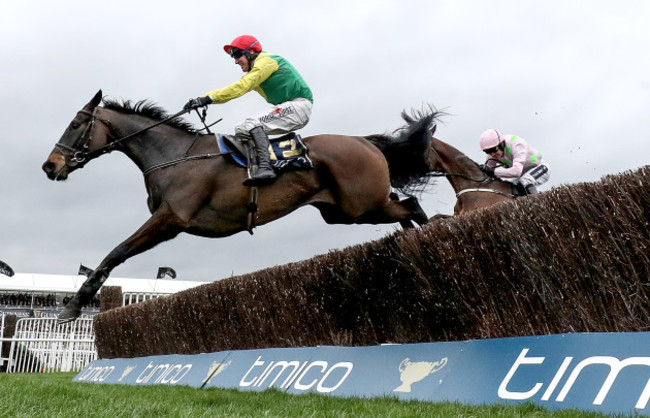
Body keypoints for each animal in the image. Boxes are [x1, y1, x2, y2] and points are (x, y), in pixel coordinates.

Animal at [41, 90, 440, 324]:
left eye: (76, 123)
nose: (50, 166)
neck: (174, 156)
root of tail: (367, 142)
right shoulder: (167, 222)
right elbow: (116, 253)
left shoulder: (171, 218)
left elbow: (116, 252)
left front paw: (72, 307)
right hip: (343, 212)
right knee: (407, 208)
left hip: (360, 206)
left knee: (413, 207)